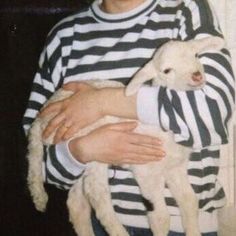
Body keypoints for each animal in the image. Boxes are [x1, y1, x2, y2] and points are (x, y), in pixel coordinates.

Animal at [26, 36, 224, 235]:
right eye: (167, 70)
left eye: (196, 55)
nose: (196, 76)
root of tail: (42, 115)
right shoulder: (147, 173)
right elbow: (161, 217)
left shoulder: (176, 168)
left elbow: (190, 201)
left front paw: (193, 231)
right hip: (91, 147)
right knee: (96, 195)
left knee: (76, 200)